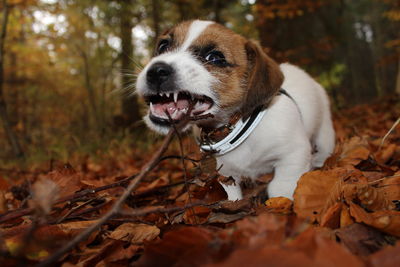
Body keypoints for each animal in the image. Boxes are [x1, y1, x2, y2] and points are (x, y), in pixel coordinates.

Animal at [136, 19, 336, 201]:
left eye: (215, 58)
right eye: (163, 46)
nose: (156, 71)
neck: (237, 127)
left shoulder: (294, 154)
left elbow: (281, 186)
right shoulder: (226, 174)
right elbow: (231, 196)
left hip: (324, 133)